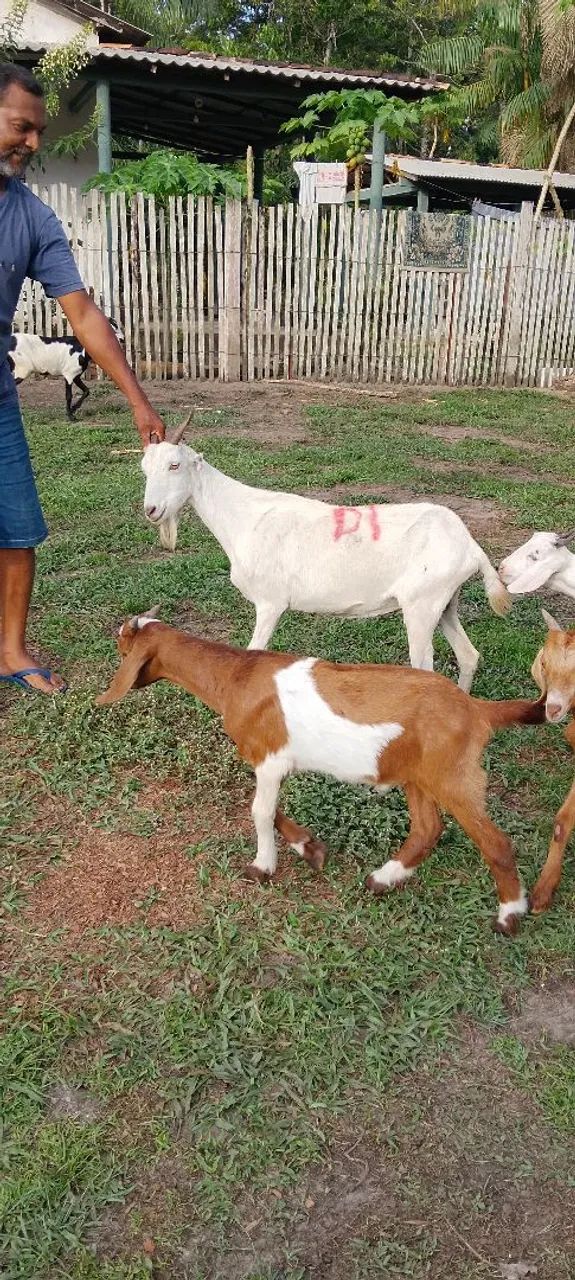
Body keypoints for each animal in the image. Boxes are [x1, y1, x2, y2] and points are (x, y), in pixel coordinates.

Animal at [96, 612, 545, 934]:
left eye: (121, 645)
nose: (113, 643)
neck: (235, 677)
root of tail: (477, 710)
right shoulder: (272, 762)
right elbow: (271, 809)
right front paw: (310, 848)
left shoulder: (270, 758)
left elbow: (259, 812)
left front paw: (262, 867)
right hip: (417, 774)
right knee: (427, 829)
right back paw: (383, 879)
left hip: (452, 775)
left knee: (495, 842)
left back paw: (509, 916)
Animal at [141, 424, 511, 692]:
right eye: (144, 468)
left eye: (175, 465)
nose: (151, 510)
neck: (245, 516)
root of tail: (468, 544)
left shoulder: (270, 603)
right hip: (444, 603)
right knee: (468, 656)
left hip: (421, 606)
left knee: (426, 667)